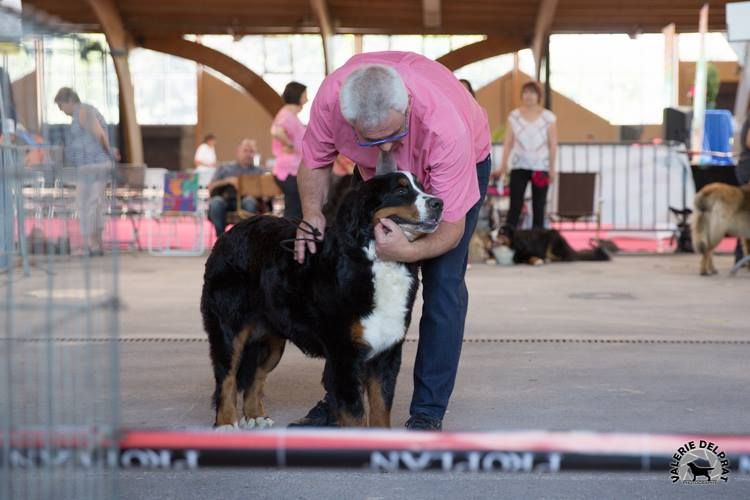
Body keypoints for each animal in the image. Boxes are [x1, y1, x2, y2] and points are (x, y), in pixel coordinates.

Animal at [203, 170, 444, 428]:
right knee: (226, 376)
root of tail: (230, 232)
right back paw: (226, 421)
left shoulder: (386, 353)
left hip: (272, 341)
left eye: (422, 187)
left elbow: (381, 409)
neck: (378, 261)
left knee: (255, 376)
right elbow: (355, 414)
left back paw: (255, 415)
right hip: (229, 329)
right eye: (400, 190)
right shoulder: (344, 355)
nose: (439, 203)